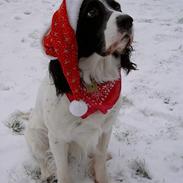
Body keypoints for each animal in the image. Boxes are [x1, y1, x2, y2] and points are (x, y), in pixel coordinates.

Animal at [25, 0, 136, 183]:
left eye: (117, 6)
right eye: (91, 12)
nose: (127, 20)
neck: (93, 85)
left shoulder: (105, 129)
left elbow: (100, 159)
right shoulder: (57, 138)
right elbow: (63, 171)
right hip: (36, 136)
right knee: (42, 158)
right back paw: (47, 173)